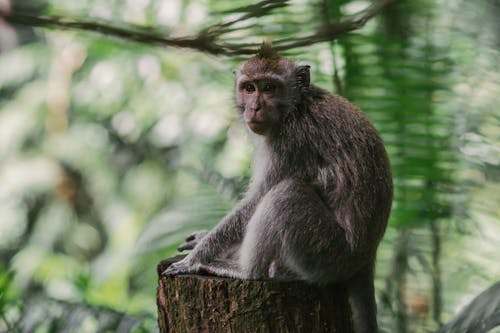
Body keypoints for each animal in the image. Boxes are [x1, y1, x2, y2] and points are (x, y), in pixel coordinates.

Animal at [165, 42, 394, 332]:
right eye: (249, 88)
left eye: (269, 88)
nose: (254, 107)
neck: (296, 107)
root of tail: (367, 257)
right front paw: (203, 239)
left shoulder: (291, 142)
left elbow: (258, 199)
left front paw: (196, 258)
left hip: (328, 253)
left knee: (285, 195)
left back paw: (247, 272)